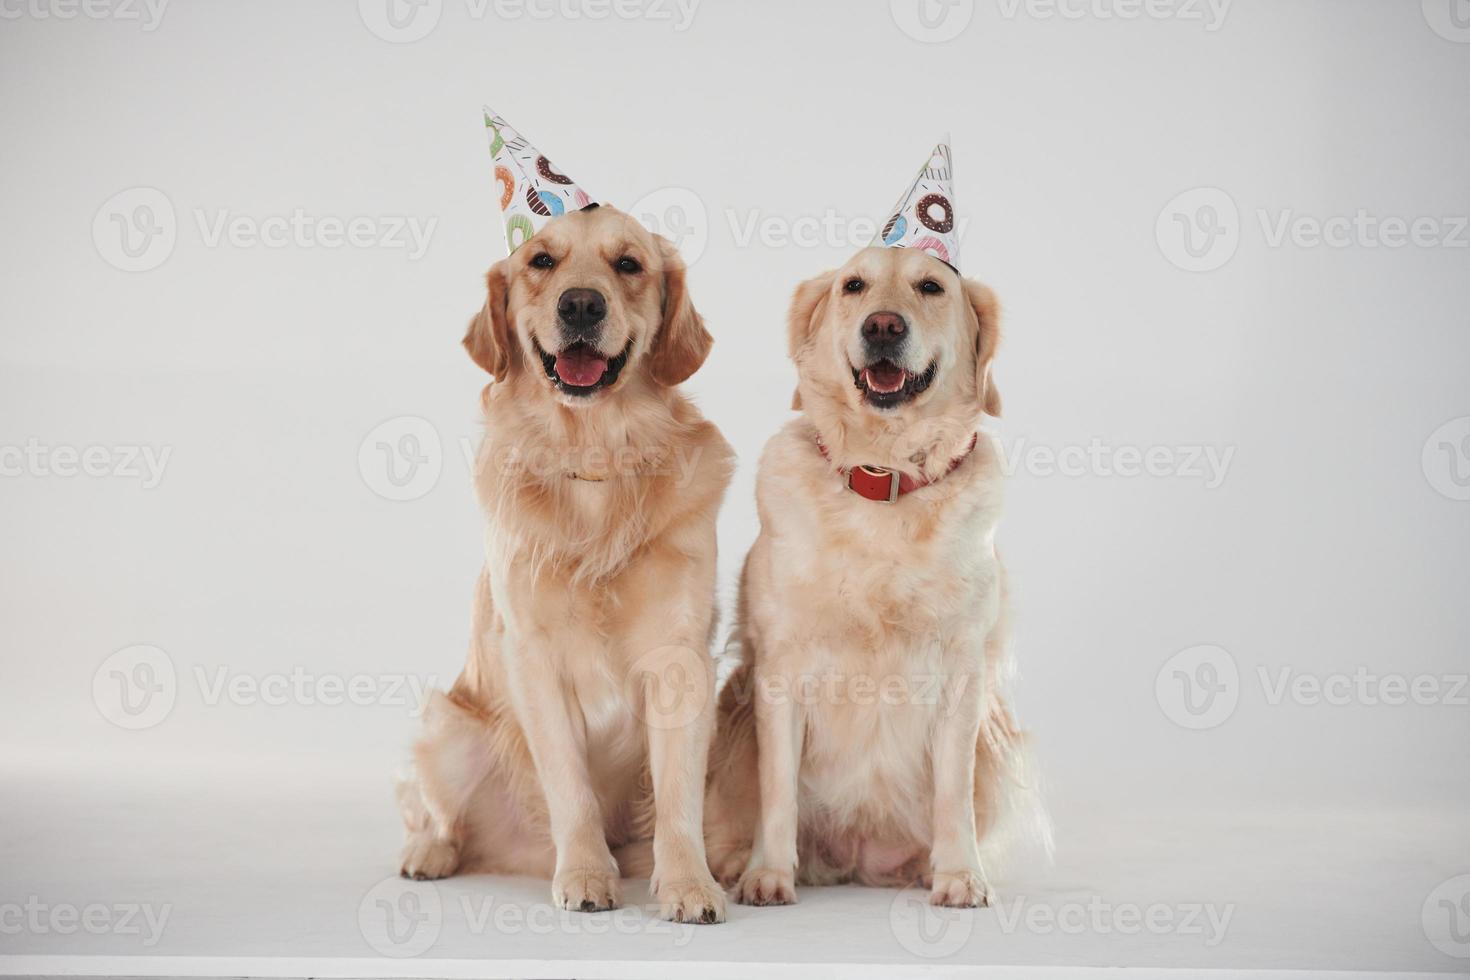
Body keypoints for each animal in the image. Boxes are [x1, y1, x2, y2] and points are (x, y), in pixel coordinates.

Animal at [396, 202, 735, 922]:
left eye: (628, 263)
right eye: (541, 261)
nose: (581, 304)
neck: (595, 458)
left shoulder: (681, 658)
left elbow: (678, 798)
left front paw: (689, 883)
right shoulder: (533, 656)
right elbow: (570, 787)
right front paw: (583, 874)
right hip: (449, 725)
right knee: (437, 815)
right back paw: (427, 852)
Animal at [702, 245, 1040, 910]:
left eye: (931, 287)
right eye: (853, 285)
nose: (883, 326)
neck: (883, 477)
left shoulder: (962, 674)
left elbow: (952, 794)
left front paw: (959, 875)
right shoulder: (781, 669)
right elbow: (776, 791)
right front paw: (767, 875)